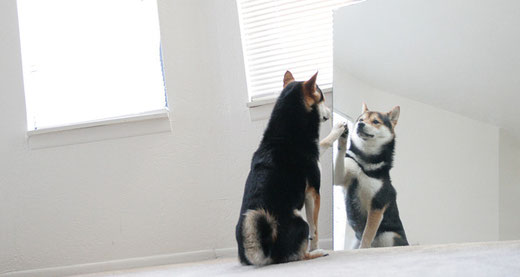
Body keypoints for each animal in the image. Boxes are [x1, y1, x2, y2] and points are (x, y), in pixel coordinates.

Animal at [235, 70, 330, 264]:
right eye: (322, 98)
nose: (331, 113)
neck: (283, 135)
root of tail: (263, 254)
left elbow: (324, 143)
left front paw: (340, 128)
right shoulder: (313, 192)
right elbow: (315, 229)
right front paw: (316, 246)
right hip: (301, 223)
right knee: (300, 255)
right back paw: (316, 253)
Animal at [324, 103, 406, 248]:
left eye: (375, 121)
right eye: (361, 119)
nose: (360, 124)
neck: (365, 163)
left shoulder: (377, 206)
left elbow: (367, 237)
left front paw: (364, 248)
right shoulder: (341, 177)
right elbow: (345, 159)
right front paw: (343, 138)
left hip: (388, 235)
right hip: (355, 241)